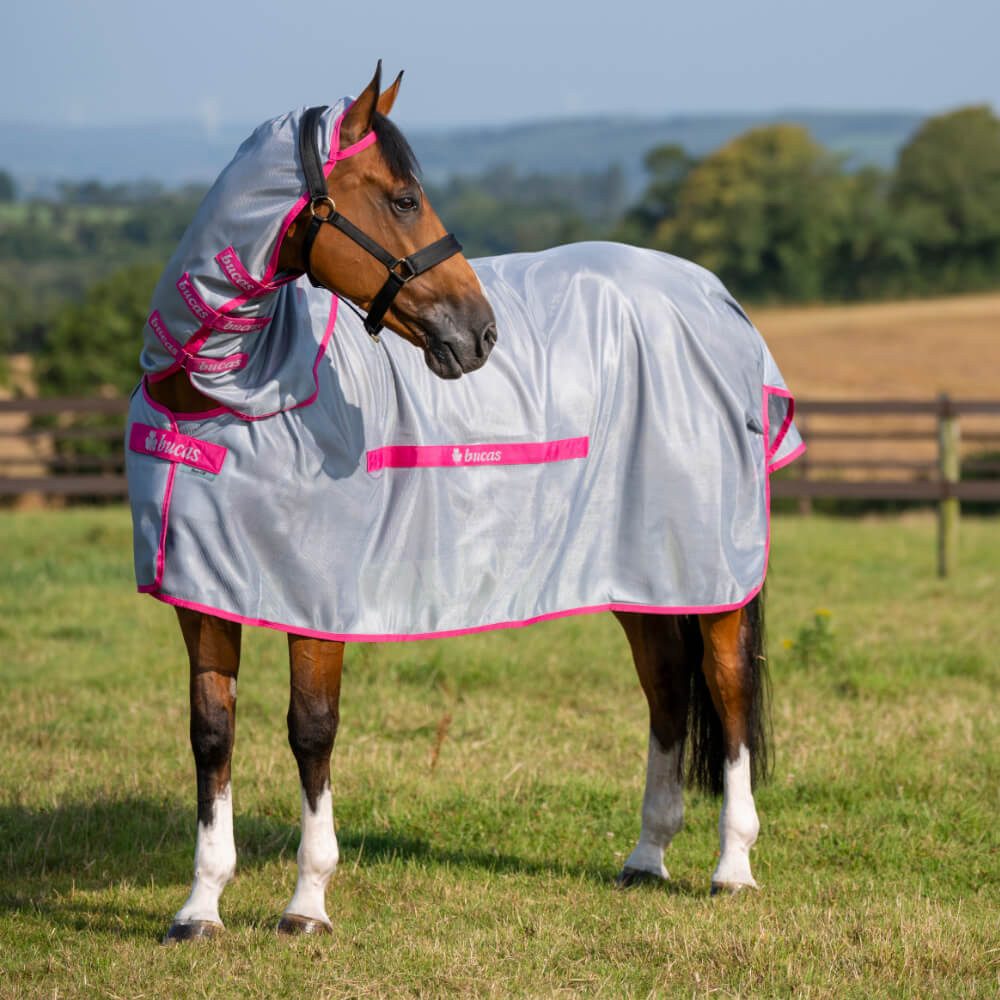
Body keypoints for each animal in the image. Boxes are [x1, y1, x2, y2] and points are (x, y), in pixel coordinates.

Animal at [127, 63, 803, 942]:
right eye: (404, 198)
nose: (480, 334)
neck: (225, 397)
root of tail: (714, 298)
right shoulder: (203, 596)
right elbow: (212, 736)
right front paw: (199, 907)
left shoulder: (317, 602)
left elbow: (312, 730)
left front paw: (307, 904)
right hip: (641, 571)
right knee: (665, 692)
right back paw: (646, 857)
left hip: (710, 570)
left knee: (726, 694)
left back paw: (731, 869)